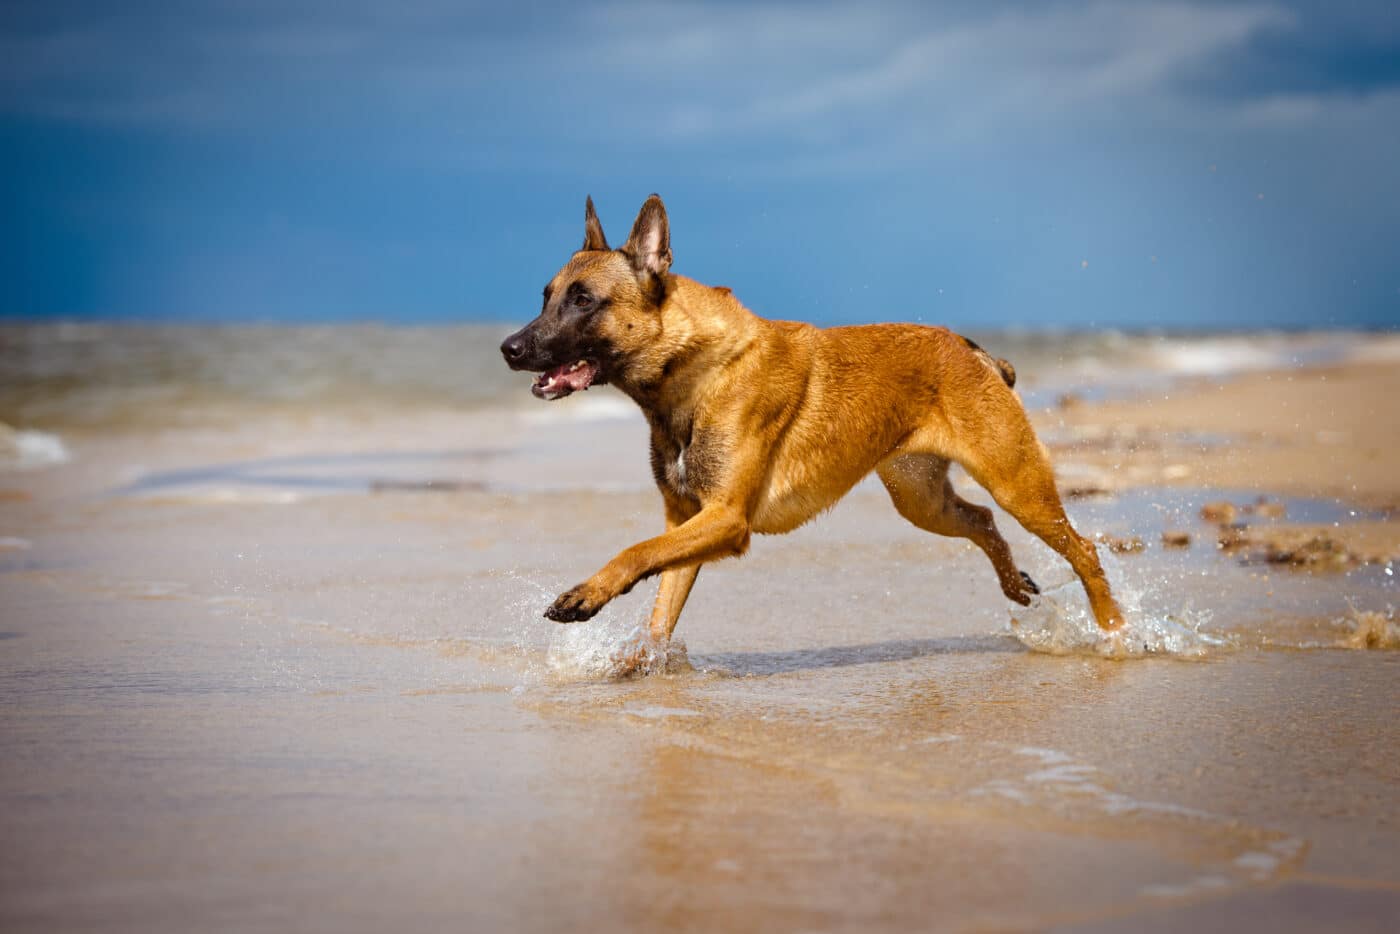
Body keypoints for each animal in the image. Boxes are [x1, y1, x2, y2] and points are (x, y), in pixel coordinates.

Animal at [498, 193, 1120, 669]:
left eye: (583, 300)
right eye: (546, 297)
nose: (508, 349)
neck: (693, 369)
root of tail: (970, 348)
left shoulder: (724, 519)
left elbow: (635, 551)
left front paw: (585, 595)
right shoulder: (688, 519)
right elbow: (661, 606)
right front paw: (637, 661)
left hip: (1017, 485)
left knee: (1084, 550)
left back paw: (1115, 630)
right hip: (922, 500)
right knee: (984, 521)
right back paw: (1016, 584)